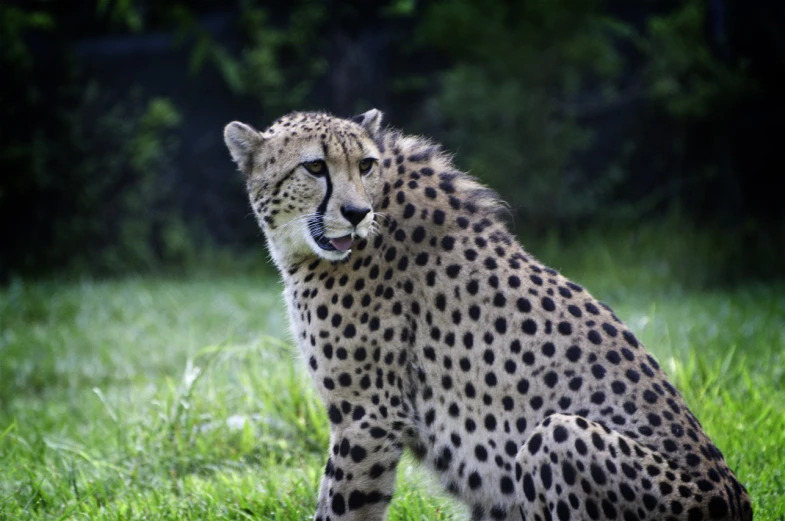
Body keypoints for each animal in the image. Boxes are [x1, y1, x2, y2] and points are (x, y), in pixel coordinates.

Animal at [224, 109, 752, 520]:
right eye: (314, 166)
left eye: (365, 164)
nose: (356, 213)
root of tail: (737, 498)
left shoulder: (369, 418)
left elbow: (342, 506)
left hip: (556, 434)